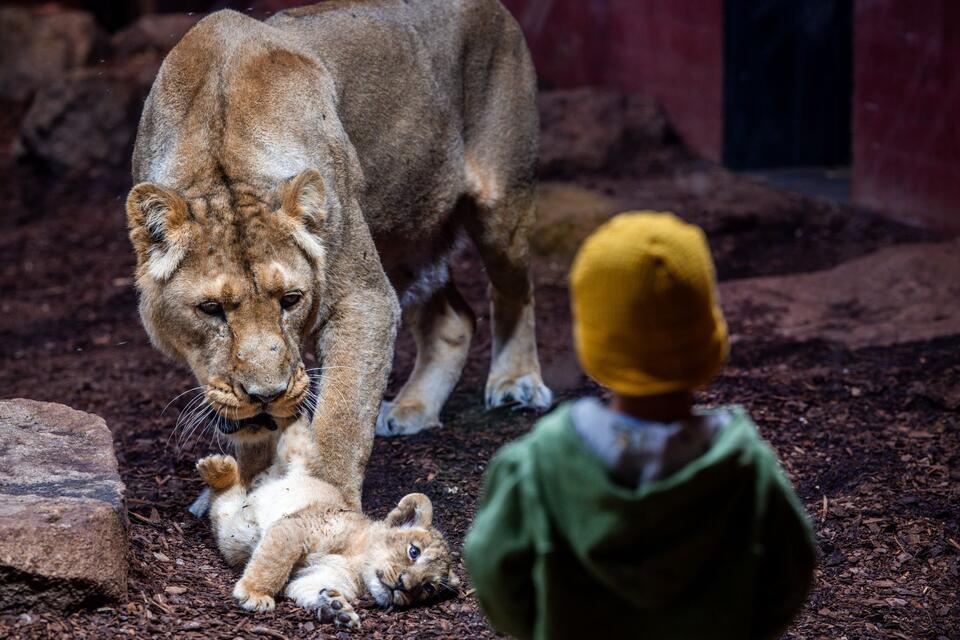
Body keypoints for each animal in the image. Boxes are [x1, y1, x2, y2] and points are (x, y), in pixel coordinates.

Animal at [127, 0, 552, 509]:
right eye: (211, 309)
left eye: (290, 300)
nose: (266, 394)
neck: (220, 153)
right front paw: (242, 484)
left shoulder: (364, 297)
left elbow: (343, 412)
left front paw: (320, 503)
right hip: (402, 234)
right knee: (453, 319)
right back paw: (413, 408)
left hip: (499, 203)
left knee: (515, 291)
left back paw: (515, 382)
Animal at [195, 416, 458, 629]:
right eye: (414, 552)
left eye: (428, 587)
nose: (404, 586)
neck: (357, 563)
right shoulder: (297, 528)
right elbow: (274, 563)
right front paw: (255, 594)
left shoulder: (319, 577)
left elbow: (305, 587)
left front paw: (336, 608)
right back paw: (219, 467)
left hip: (234, 531)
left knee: (226, 502)